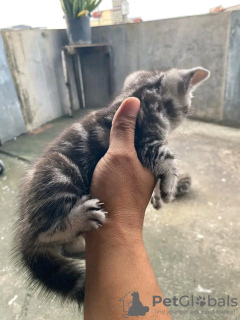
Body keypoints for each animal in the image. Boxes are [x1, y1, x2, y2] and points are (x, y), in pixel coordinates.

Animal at [14, 67, 210, 304]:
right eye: (187, 106)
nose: (186, 114)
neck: (138, 93)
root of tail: (24, 229)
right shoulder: (145, 139)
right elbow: (166, 155)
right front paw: (170, 183)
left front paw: (158, 192)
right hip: (59, 175)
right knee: (44, 233)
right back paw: (77, 219)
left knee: (64, 248)